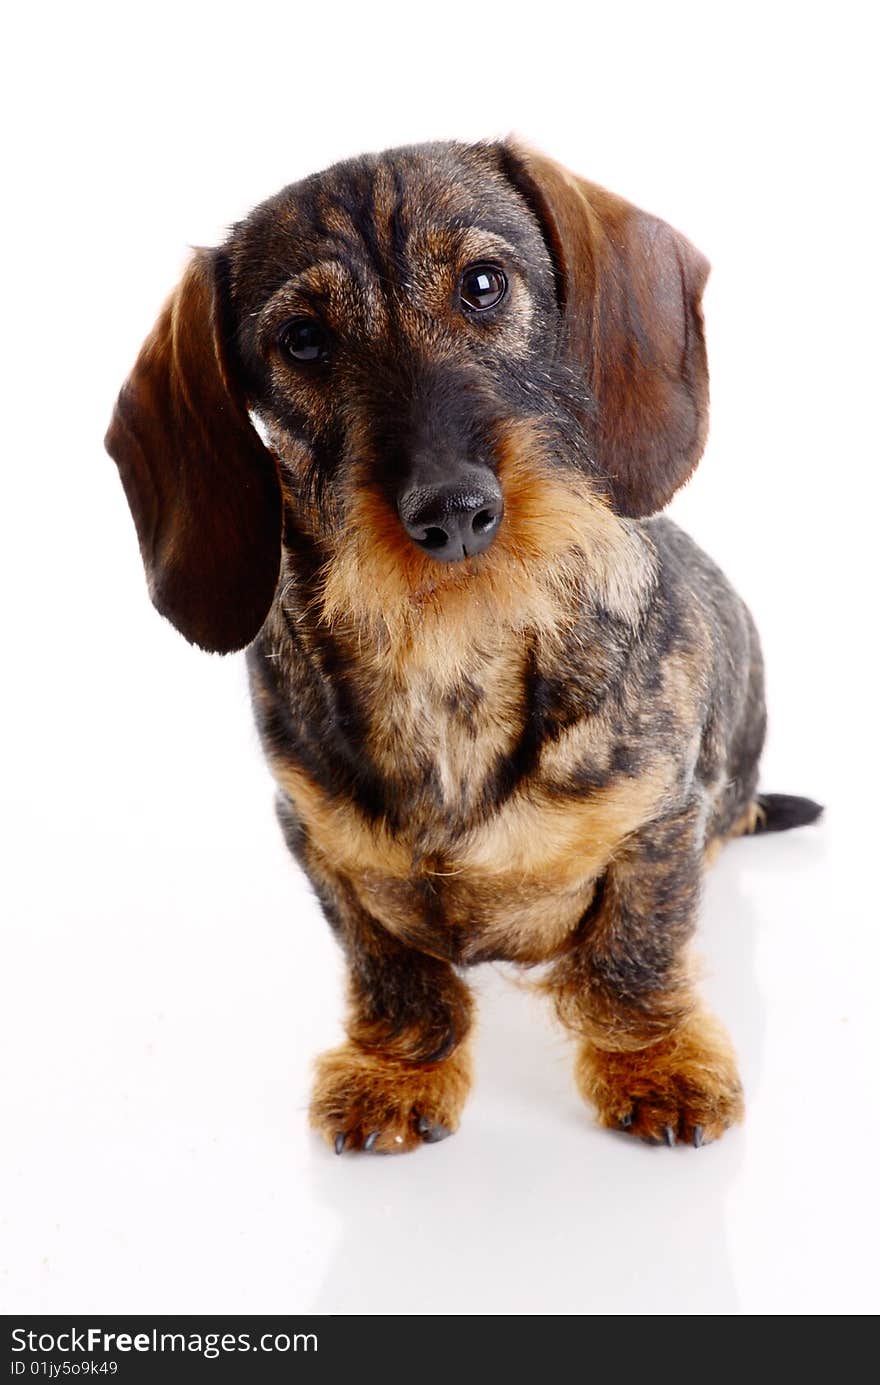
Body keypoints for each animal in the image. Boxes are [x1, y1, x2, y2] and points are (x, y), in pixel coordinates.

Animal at [105, 143, 825, 1157]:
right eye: (303, 340)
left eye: (483, 284)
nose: (453, 511)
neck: (454, 657)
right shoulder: (319, 847)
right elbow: (393, 971)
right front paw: (396, 1071)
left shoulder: (658, 824)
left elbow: (632, 954)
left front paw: (655, 1062)